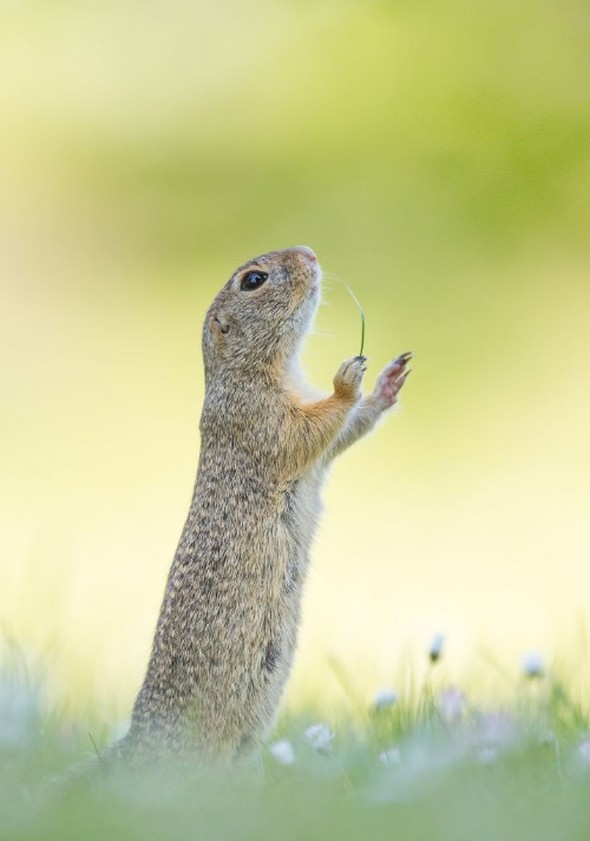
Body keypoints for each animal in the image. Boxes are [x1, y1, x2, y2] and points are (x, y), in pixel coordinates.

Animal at [115, 246, 412, 764]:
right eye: (253, 280)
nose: (310, 252)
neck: (263, 369)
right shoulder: (259, 416)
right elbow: (309, 430)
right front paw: (347, 381)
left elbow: (342, 434)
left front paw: (386, 384)